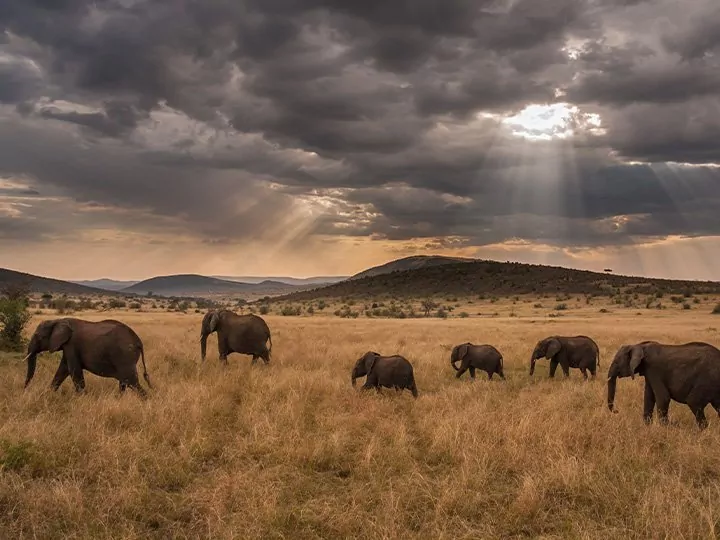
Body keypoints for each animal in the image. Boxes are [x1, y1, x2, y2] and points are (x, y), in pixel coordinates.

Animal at [22, 316, 152, 396]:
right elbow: (62, 370)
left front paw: (82, 398)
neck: (57, 320)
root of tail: (139, 342)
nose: (25, 389)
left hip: (125, 356)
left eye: (38, 336)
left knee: (131, 382)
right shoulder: (67, 346)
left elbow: (74, 371)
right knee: (124, 383)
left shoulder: (71, 345)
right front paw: (49, 393)